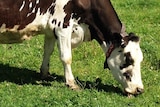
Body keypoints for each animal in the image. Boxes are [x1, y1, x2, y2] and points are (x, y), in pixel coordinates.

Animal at [0, 0, 144, 95]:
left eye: (140, 60)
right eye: (128, 59)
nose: (140, 89)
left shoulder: (50, 29)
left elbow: (48, 51)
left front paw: (45, 74)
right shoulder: (62, 25)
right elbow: (66, 57)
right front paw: (71, 83)